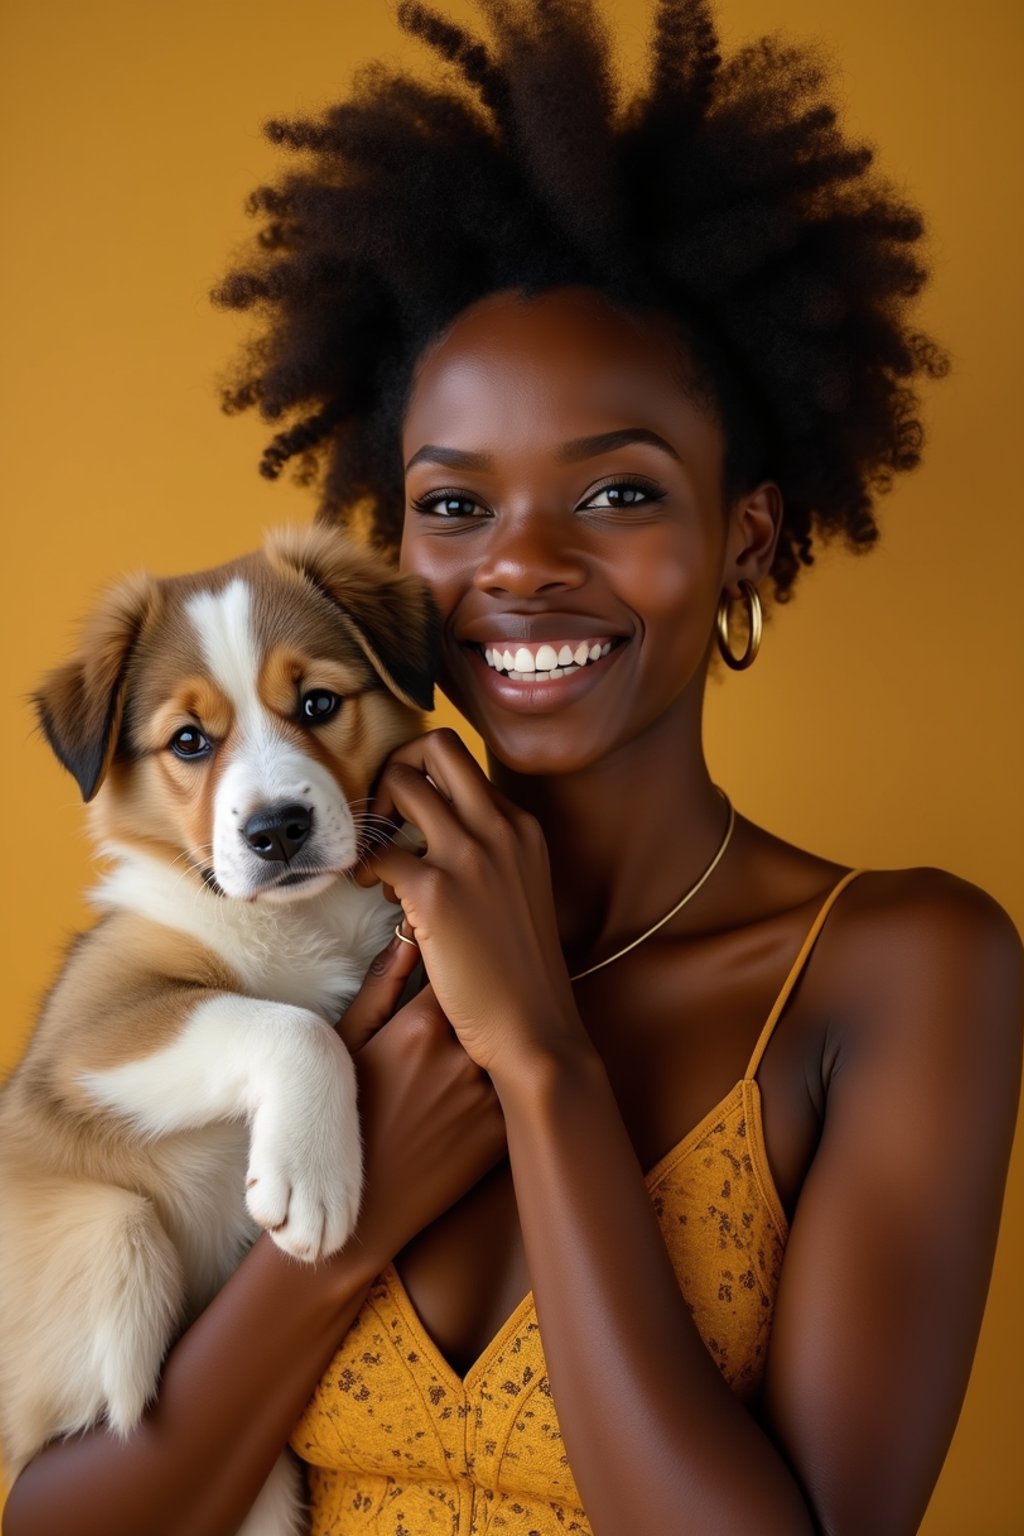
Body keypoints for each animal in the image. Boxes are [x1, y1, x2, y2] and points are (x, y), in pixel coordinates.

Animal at [0, 522, 436, 1529]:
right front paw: (313, 1176)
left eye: (318, 703)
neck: (296, 921)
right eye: (189, 741)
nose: (276, 830)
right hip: (114, 1234)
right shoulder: (87, 1032)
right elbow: (291, 1024)